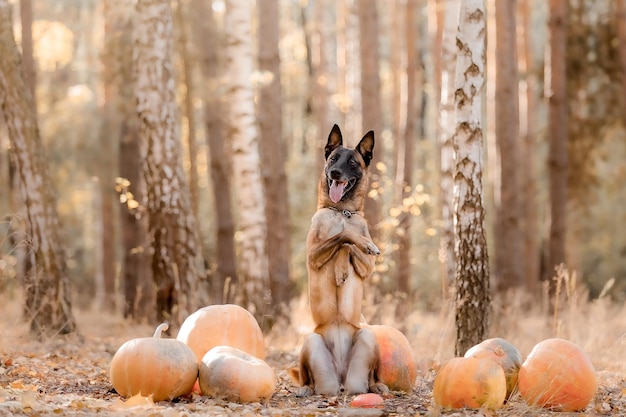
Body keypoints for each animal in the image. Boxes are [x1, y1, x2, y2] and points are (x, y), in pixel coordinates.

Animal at [290, 124, 388, 396]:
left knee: (372, 375)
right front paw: (343, 268)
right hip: (311, 341)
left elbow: (349, 244)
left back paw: (378, 386)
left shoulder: (368, 268)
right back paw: (305, 389)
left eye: (353, 162)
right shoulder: (312, 257)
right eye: (333, 159)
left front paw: (348, 263)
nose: (334, 172)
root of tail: (342, 379)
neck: (342, 212)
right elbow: (343, 238)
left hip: (368, 337)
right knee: (306, 377)